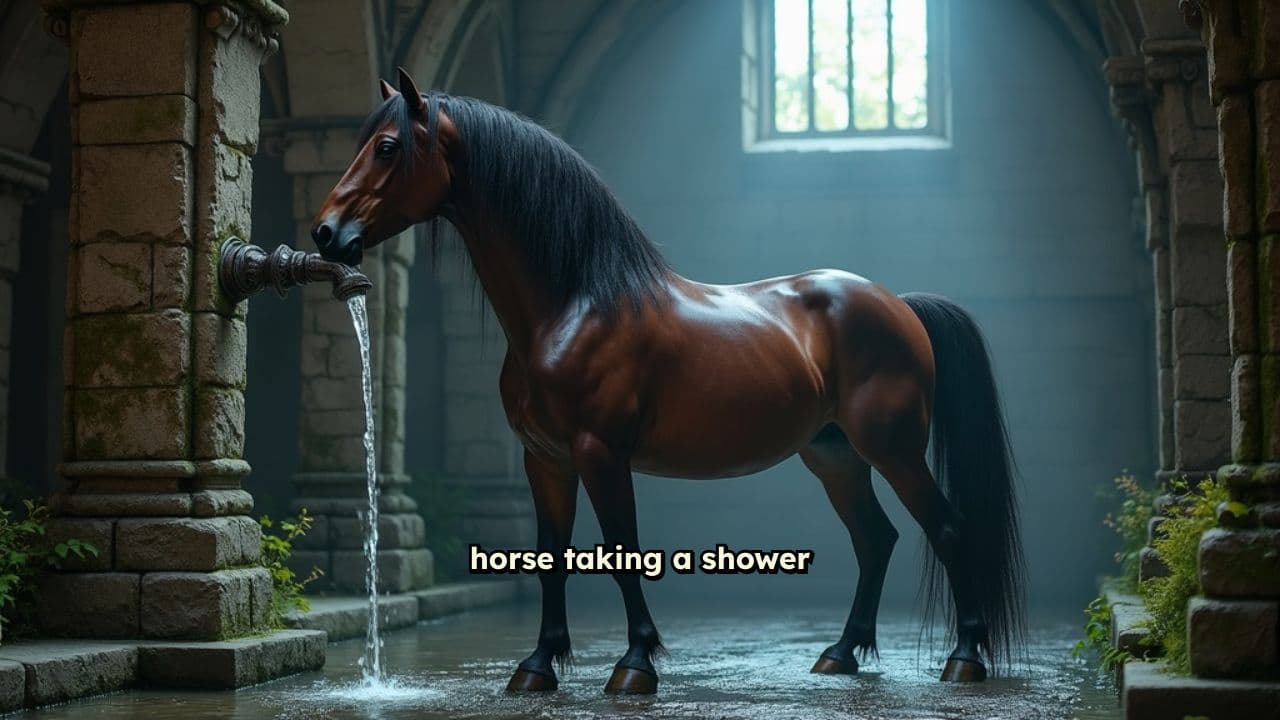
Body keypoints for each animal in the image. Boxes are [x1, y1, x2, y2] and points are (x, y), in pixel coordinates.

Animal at [310, 68, 1025, 695]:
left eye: (387, 146)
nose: (327, 233)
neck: (575, 305)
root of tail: (898, 304)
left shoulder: (601, 453)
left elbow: (621, 549)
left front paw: (635, 665)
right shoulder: (545, 459)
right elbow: (549, 555)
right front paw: (538, 666)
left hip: (893, 450)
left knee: (947, 529)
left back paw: (964, 658)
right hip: (835, 456)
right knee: (875, 540)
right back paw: (841, 654)